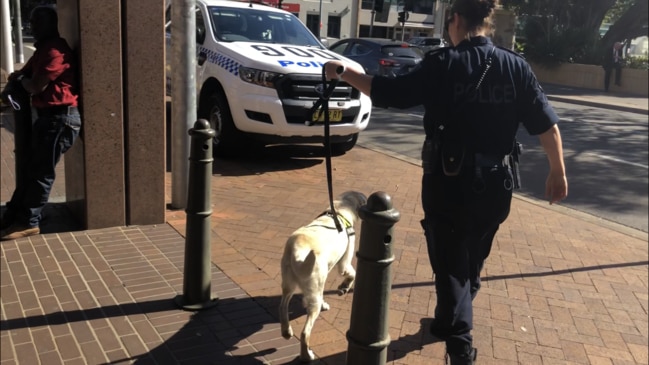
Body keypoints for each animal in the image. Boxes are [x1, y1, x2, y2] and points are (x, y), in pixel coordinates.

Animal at [280, 191, 368, 362]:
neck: (339, 211)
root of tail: (298, 253)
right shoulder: (343, 264)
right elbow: (352, 273)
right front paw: (345, 286)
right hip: (315, 286)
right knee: (305, 333)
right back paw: (306, 355)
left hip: (289, 284)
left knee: (283, 306)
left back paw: (286, 331)